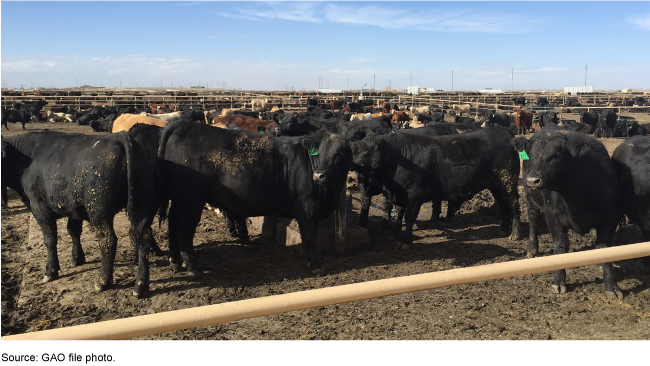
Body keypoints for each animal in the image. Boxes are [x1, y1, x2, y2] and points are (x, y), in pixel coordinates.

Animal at [0, 130, 158, 296]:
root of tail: (120, 136)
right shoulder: (73, 207)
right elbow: (73, 231)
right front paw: (77, 258)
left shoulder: (40, 209)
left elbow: (50, 240)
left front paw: (50, 271)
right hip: (142, 206)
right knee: (144, 238)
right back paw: (140, 286)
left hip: (99, 212)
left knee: (108, 241)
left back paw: (103, 281)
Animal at [157, 121, 352, 276]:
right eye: (319, 152)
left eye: (341, 153)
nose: (319, 175)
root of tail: (184, 124)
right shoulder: (308, 209)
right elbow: (310, 237)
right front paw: (316, 265)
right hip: (191, 200)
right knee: (184, 228)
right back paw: (192, 267)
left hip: (179, 199)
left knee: (172, 223)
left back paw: (175, 262)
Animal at [350, 126, 520, 249]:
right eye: (354, 147)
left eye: (365, 151)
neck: (399, 157)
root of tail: (506, 131)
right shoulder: (399, 194)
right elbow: (399, 214)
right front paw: (394, 234)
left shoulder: (414, 195)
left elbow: (409, 217)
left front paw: (405, 241)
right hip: (496, 185)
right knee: (504, 206)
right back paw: (503, 228)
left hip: (508, 182)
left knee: (514, 205)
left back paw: (515, 234)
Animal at [512, 129, 624, 298]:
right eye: (531, 155)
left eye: (556, 156)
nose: (533, 180)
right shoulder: (552, 215)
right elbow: (560, 246)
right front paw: (558, 281)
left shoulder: (610, 216)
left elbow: (605, 248)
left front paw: (612, 286)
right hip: (531, 198)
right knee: (533, 220)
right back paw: (532, 248)